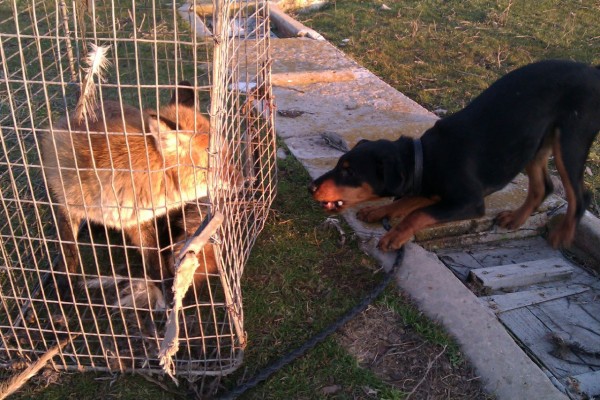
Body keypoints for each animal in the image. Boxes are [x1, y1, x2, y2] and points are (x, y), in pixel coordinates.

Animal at [41, 81, 234, 296]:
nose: (245, 180)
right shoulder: (67, 203)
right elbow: (68, 250)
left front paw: (168, 290)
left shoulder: (136, 219)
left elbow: (153, 257)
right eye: (214, 165)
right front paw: (65, 287)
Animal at [310, 60, 600, 250]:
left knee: (579, 195)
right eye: (339, 164)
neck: (424, 160)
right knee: (543, 186)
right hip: (534, 143)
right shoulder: (430, 189)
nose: (312, 187)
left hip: (570, 139)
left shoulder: (470, 202)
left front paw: (394, 236)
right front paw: (379, 210)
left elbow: (418, 214)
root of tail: (592, 70)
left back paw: (562, 236)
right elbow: (408, 201)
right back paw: (515, 219)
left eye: (349, 171)